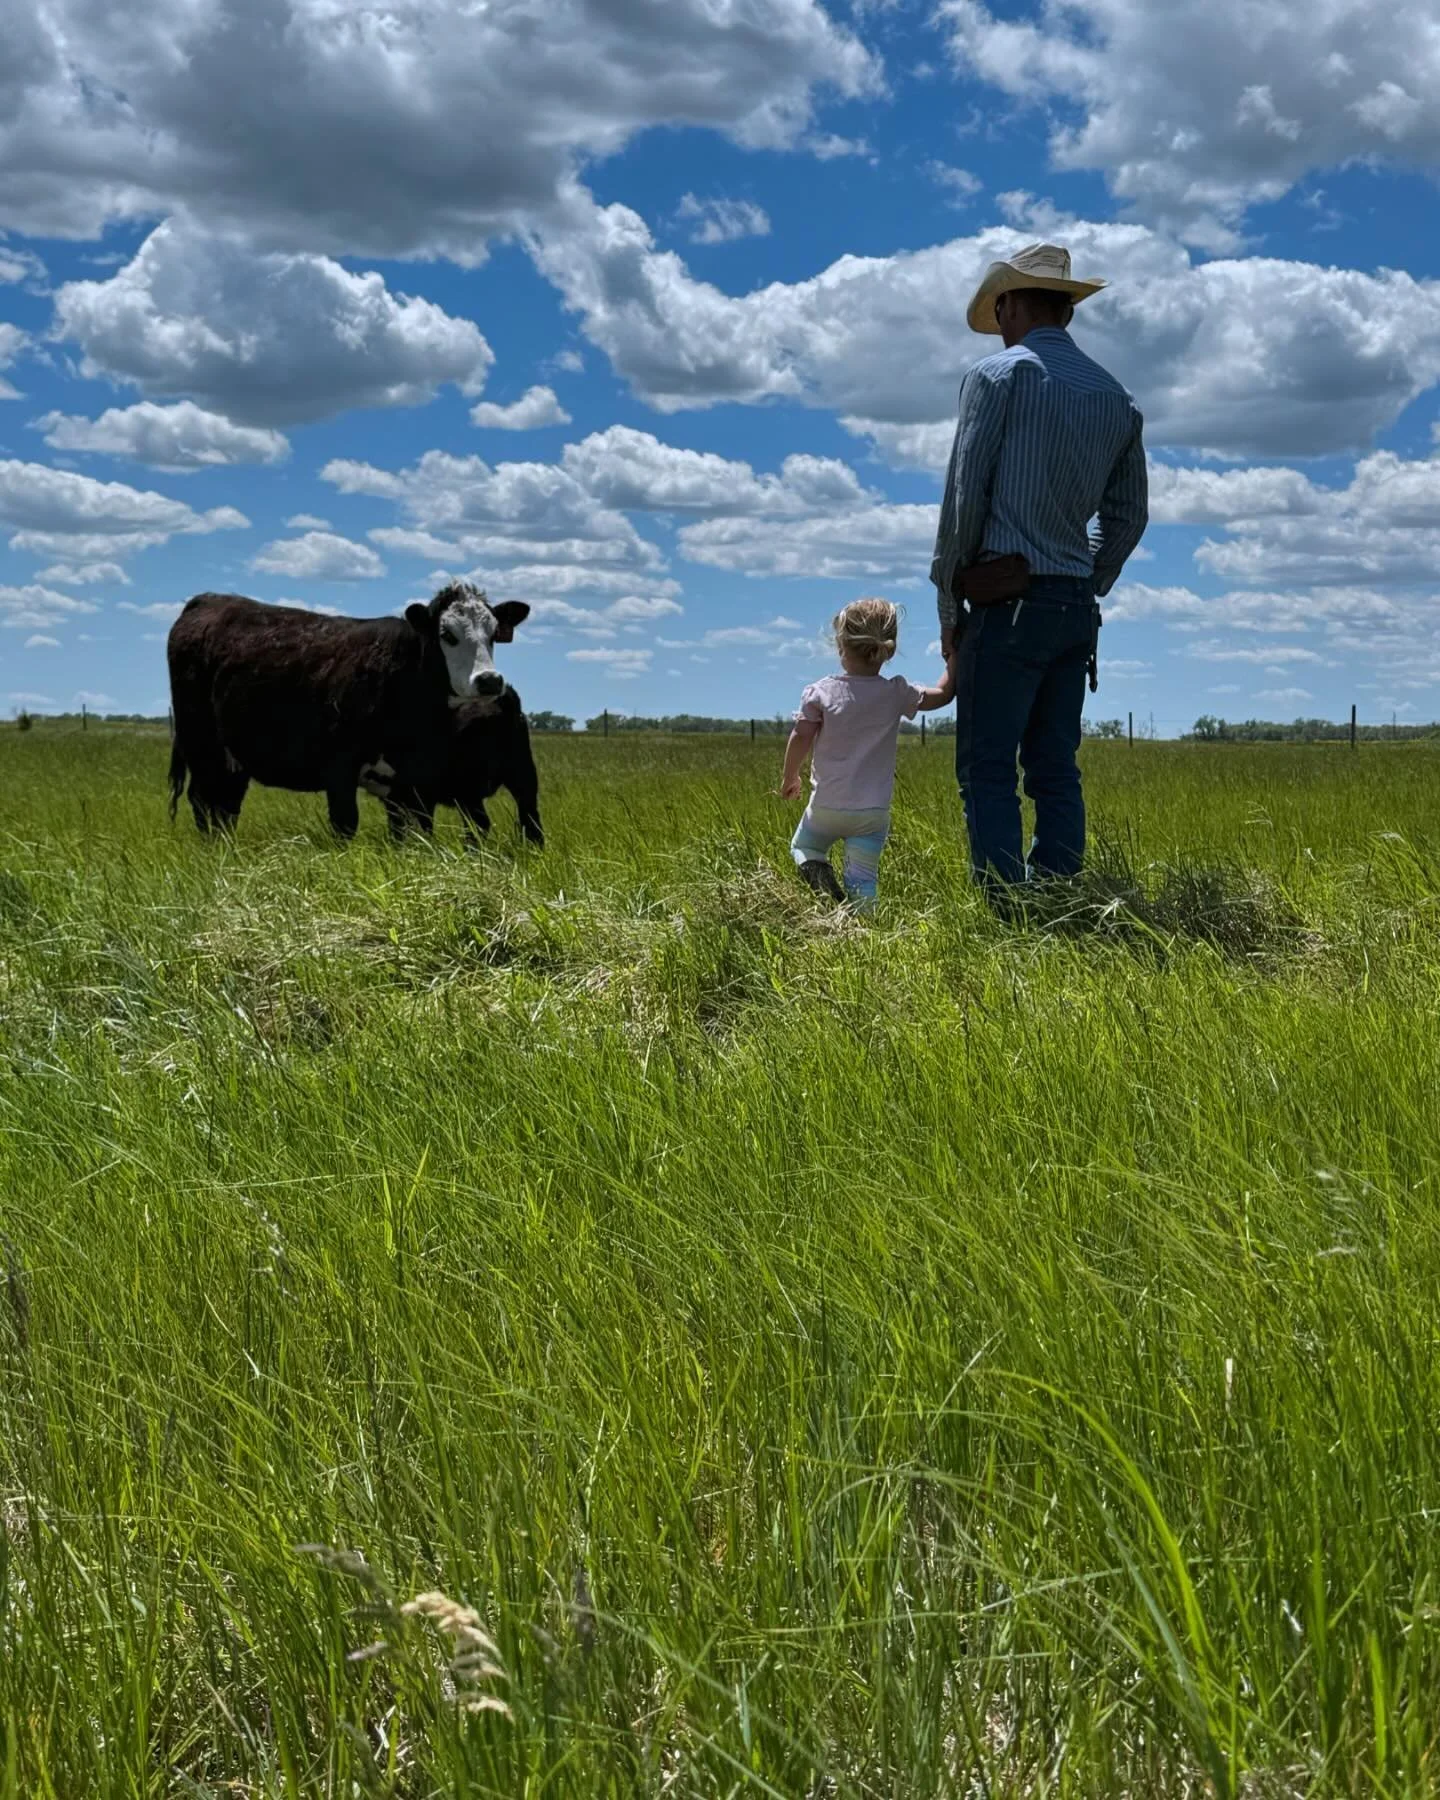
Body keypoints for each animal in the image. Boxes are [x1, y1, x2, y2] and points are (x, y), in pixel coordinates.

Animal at [166, 583, 529, 837]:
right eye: (447, 634)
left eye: (493, 634)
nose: (489, 680)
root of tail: (208, 600)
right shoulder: (339, 768)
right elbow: (345, 824)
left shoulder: (413, 782)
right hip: (201, 744)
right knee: (203, 799)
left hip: (234, 755)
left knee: (227, 804)